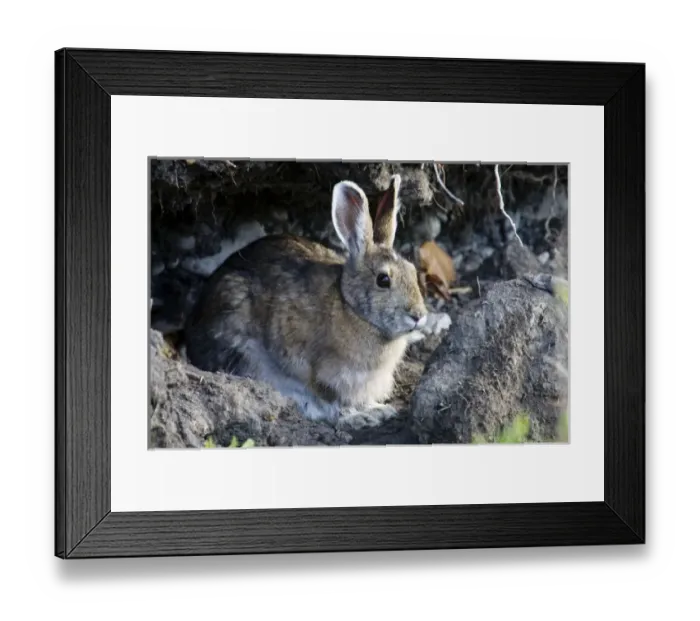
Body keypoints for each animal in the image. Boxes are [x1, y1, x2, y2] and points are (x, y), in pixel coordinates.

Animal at [183, 174, 429, 430]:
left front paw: (377, 409)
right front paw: (360, 416)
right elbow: (332, 401)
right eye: (383, 280)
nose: (418, 315)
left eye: (412, 271)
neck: (351, 308)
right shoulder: (320, 372)